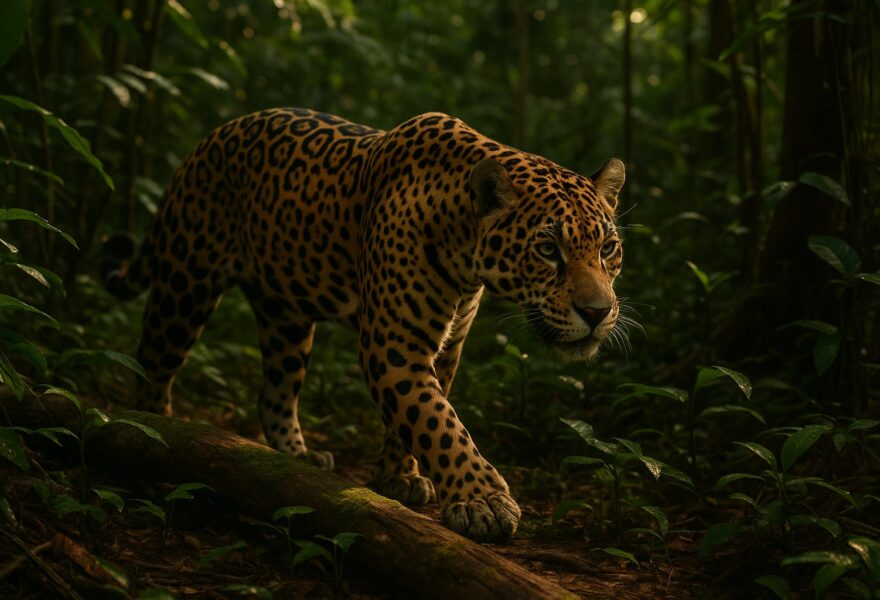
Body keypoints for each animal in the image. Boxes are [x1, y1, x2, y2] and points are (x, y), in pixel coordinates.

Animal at [101, 108, 626, 542]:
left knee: (273, 393)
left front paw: (399, 477)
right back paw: (156, 441)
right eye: (548, 250)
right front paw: (482, 501)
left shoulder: (445, 346)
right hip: (185, 285)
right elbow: (439, 423)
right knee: (152, 365)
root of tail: (208, 138)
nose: (598, 313)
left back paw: (298, 455)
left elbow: (416, 415)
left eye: (607, 249)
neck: (464, 250)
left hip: (287, 317)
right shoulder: (394, 345)